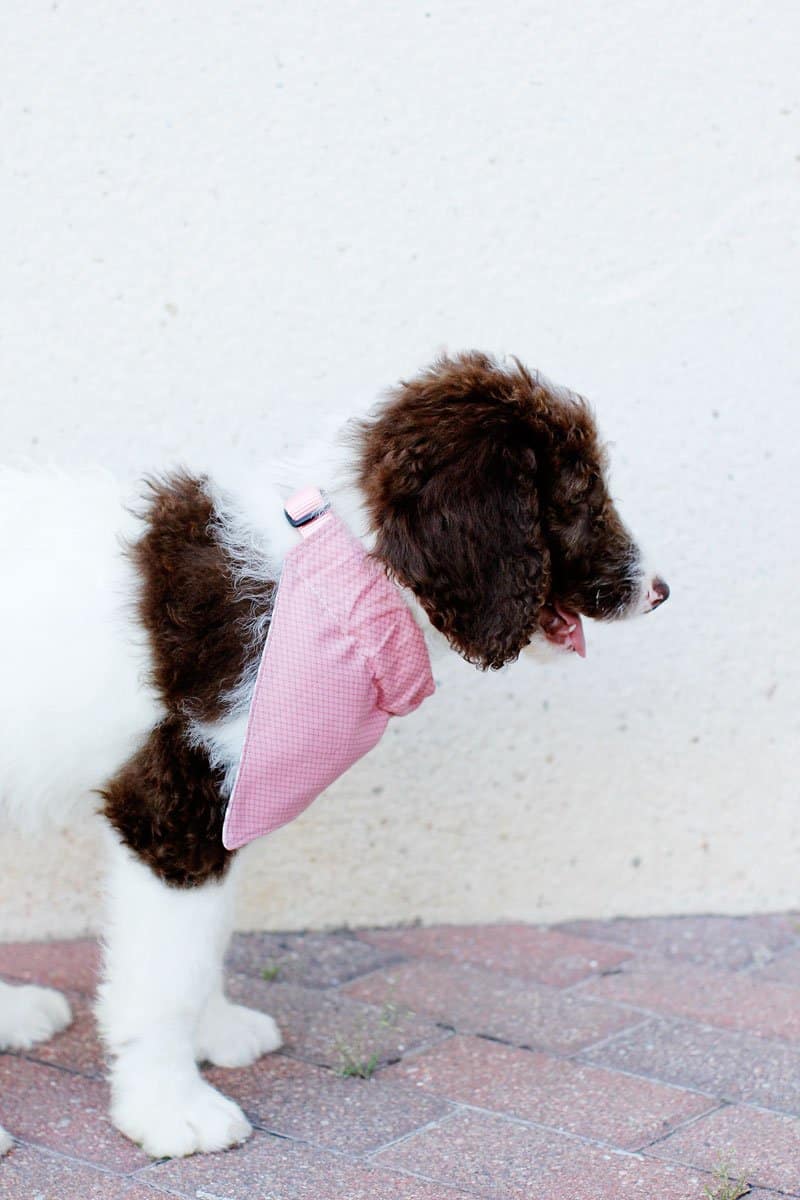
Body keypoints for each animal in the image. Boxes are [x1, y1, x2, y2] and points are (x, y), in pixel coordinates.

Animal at [0, 350, 671, 1156]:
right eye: (581, 497)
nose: (661, 590)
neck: (330, 579)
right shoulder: (175, 806)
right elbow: (167, 974)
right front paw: (169, 1107)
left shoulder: (232, 803)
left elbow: (205, 940)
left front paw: (214, 1033)